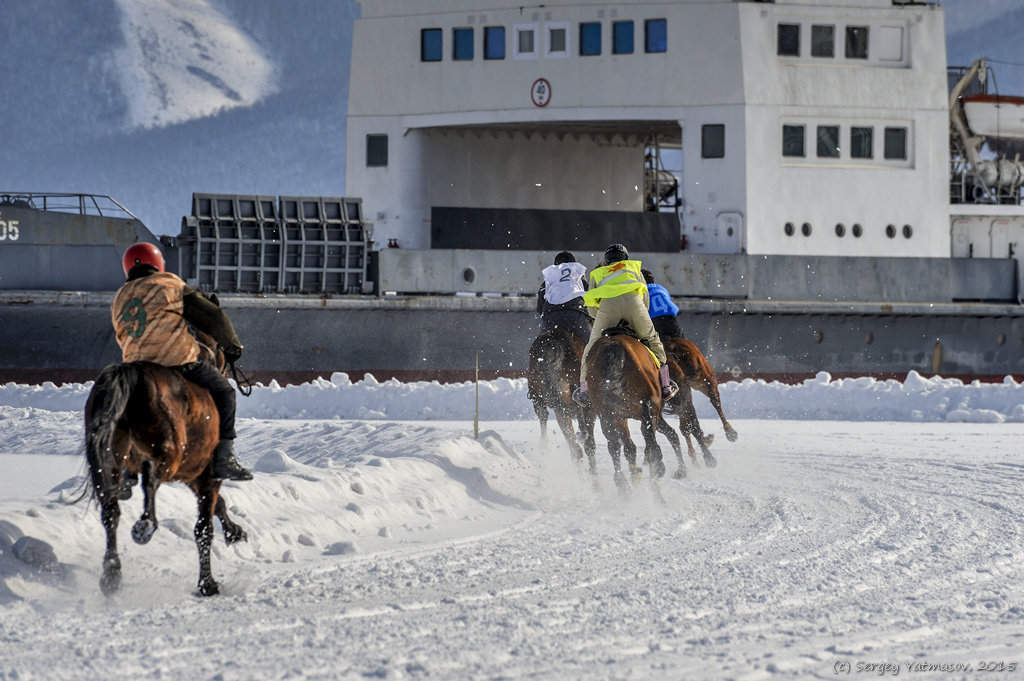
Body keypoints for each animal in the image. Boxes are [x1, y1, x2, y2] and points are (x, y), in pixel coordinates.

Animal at [84, 333, 247, 593]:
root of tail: (132, 373)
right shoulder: (206, 476)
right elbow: (204, 527)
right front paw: (207, 583)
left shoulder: (193, 476)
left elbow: (218, 505)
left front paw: (235, 532)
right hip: (169, 454)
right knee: (150, 476)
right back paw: (145, 525)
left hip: (110, 461)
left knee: (111, 512)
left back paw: (112, 573)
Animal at [581, 329, 675, 489]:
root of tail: (613, 345)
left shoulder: (619, 416)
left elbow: (628, 446)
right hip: (642, 404)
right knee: (647, 440)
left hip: (607, 412)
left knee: (613, 445)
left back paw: (623, 483)